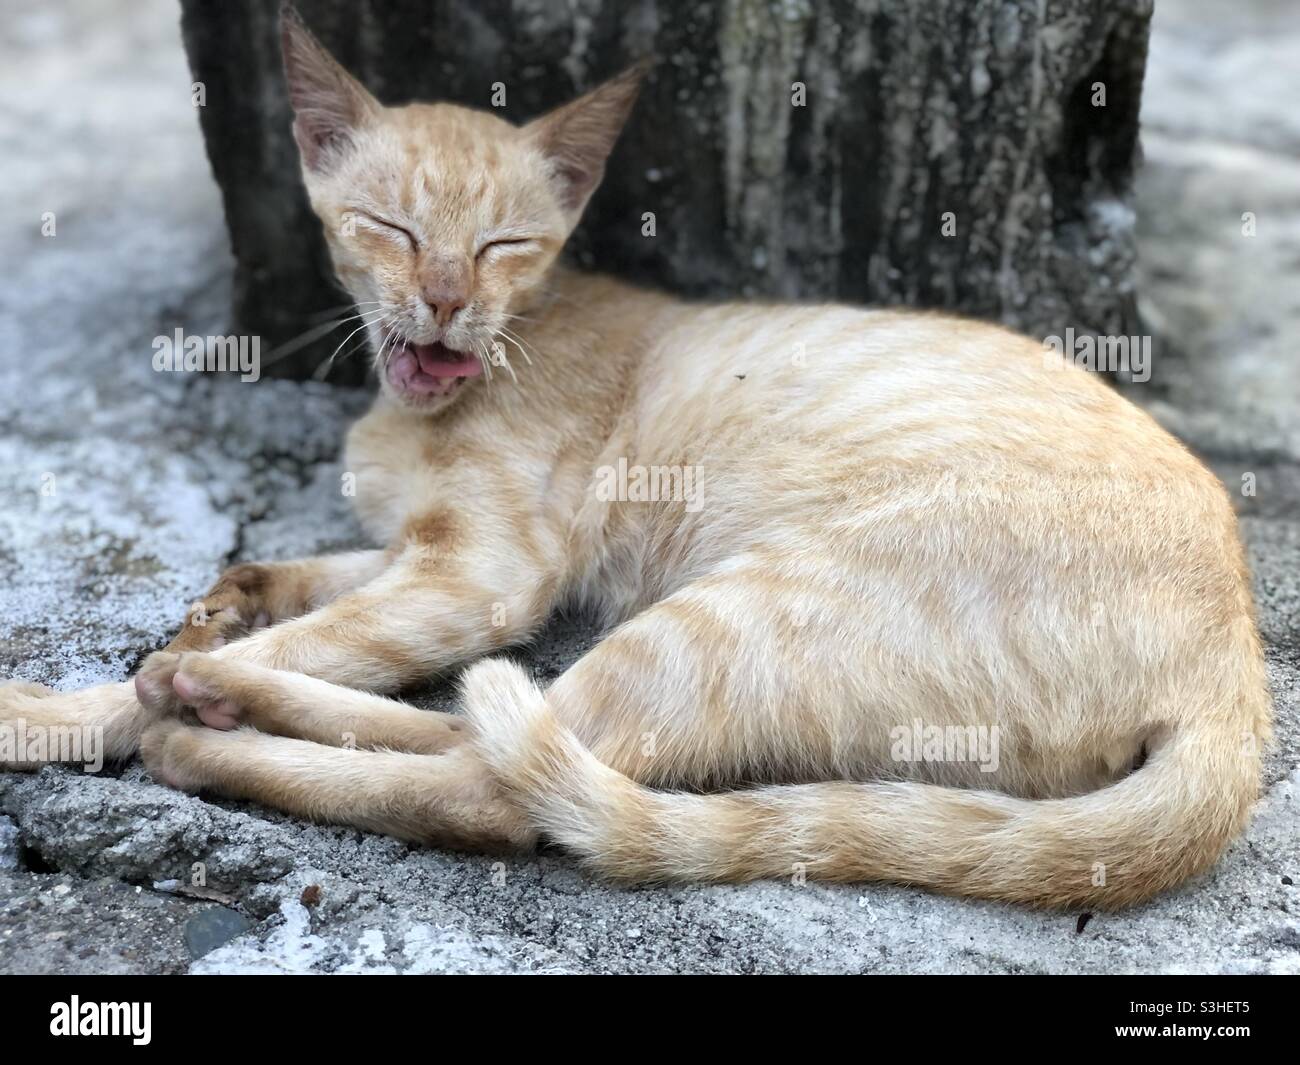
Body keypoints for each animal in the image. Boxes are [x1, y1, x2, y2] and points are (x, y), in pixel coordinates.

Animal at [2, 6, 1268, 910]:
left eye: (504, 245)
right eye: (392, 230)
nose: (445, 300)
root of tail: (1239, 682)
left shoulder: (482, 577)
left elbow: (309, 638)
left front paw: (81, 706)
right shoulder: (426, 556)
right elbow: (309, 579)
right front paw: (224, 598)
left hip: (731, 617)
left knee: (491, 780)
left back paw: (199, 717)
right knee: (498, 738)